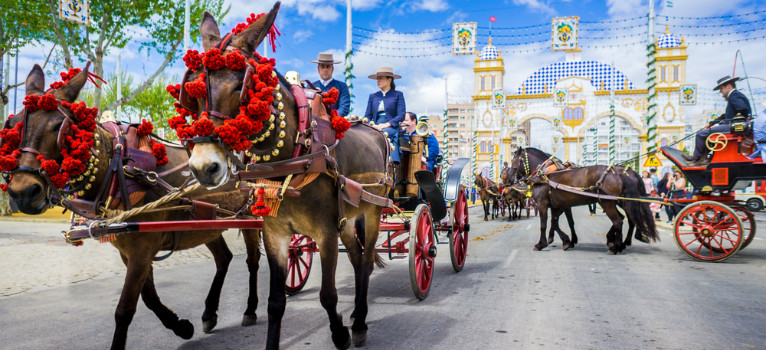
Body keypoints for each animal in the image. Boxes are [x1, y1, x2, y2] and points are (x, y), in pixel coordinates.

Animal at [3, 64, 262, 348]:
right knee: (224, 258)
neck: (118, 168)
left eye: (57, 127)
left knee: (253, 261)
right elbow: (148, 297)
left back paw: (250, 309)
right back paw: (209, 313)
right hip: (205, 221)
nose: (23, 192)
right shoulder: (129, 250)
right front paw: (181, 326)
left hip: (251, 216)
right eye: (13, 127)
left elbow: (125, 309)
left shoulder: (142, 248)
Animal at [180, 4, 390, 348]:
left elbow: (328, 295)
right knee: (358, 258)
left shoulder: (326, 233)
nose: (203, 167)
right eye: (192, 91)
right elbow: (276, 302)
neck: (291, 159)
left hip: (372, 210)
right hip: (348, 219)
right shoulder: (275, 235)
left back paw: (359, 322)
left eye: (240, 87)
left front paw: (340, 334)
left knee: (368, 259)